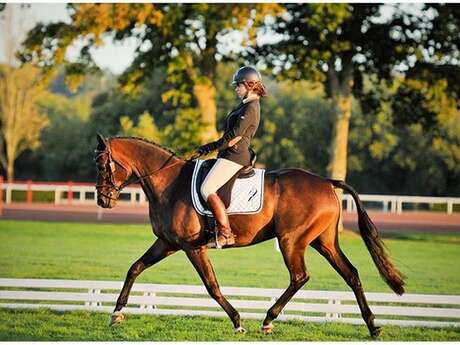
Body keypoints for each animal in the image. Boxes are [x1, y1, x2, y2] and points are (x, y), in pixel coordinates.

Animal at [94, 134, 406, 336]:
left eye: (101, 164)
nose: (102, 200)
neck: (169, 182)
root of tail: (326, 182)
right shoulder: (168, 243)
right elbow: (135, 268)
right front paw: (116, 314)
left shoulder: (193, 248)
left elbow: (212, 286)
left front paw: (237, 321)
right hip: (324, 241)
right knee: (351, 274)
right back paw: (373, 326)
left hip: (292, 241)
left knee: (300, 276)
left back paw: (268, 320)